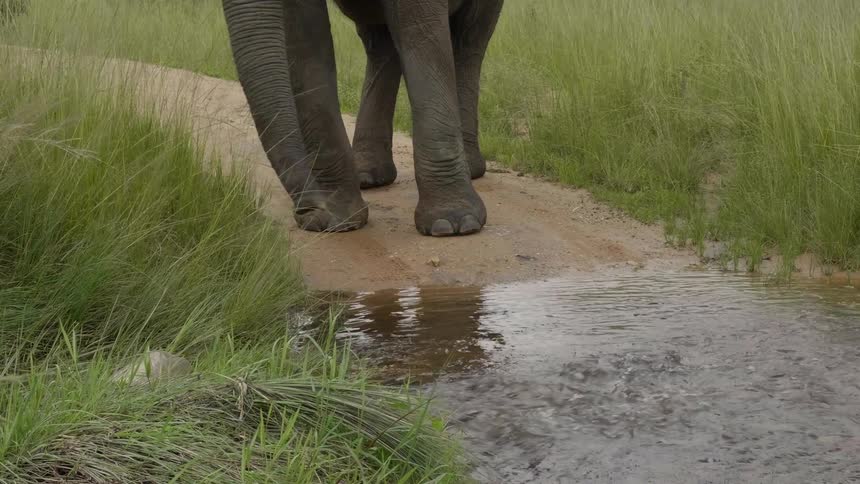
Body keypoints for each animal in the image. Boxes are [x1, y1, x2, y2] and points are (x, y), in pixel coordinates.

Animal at [221, 0, 504, 237]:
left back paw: (470, 171)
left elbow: (420, 30)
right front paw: (334, 221)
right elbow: (305, 37)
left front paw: (453, 224)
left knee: (469, 40)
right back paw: (367, 176)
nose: (308, 210)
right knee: (379, 41)